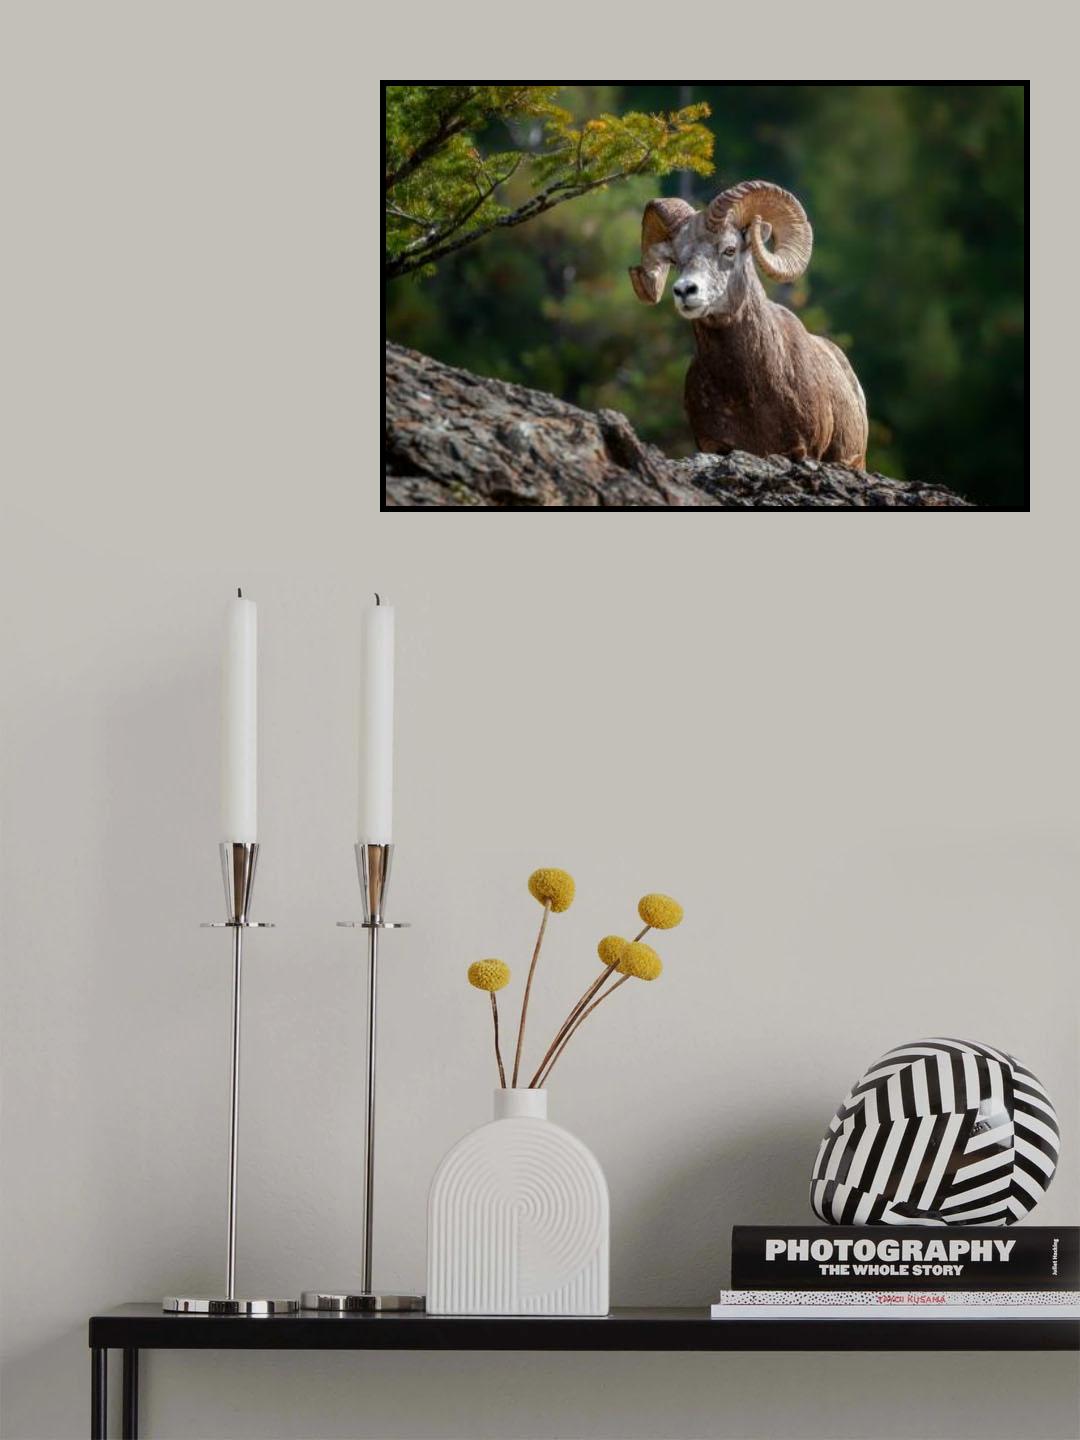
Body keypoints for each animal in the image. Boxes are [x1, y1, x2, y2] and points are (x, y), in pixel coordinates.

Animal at [629, 180, 868, 468]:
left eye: (730, 250)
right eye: (675, 259)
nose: (685, 291)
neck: (745, 392)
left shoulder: (803, 451)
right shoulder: (714, 446)